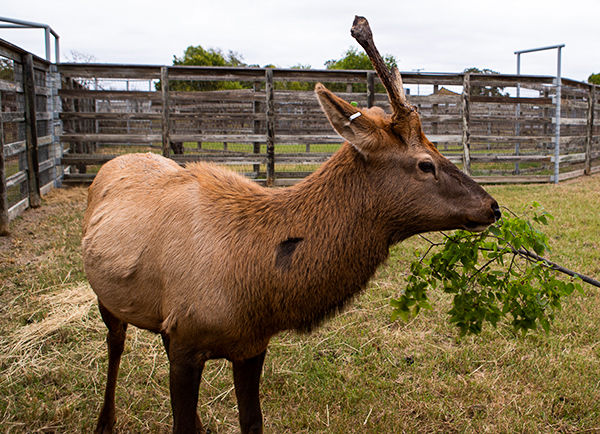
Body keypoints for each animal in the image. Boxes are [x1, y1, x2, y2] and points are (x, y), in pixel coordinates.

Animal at [82, 16, 500, 434]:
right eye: (425, 164)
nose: (493, 207)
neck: (256, 289)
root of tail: (114, 161)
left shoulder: (248, 345)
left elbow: (252, 421)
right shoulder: (186, 339)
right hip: (107, 298)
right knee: (115, 343)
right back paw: (105, 421)